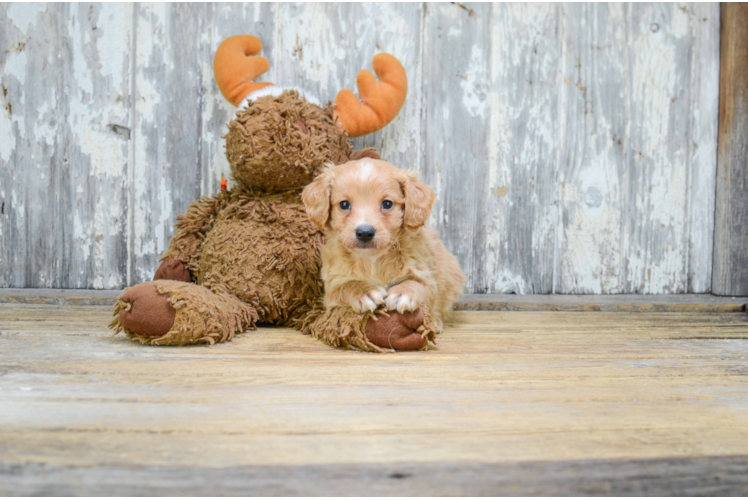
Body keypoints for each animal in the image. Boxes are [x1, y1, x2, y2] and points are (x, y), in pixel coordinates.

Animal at [300, 160, 464, 332]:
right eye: (344, 204)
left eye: (387, 204)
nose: (365, 232)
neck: (373, 260)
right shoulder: (331, 292)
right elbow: (346, 286)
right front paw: (364, 291)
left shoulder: (426, 277)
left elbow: (418, 284)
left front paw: (403, 293)